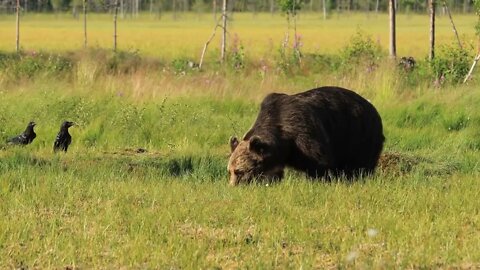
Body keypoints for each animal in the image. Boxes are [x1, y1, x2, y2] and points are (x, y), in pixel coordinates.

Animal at [227, 86, 384, 186]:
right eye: (230, 171)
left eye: (239, 171)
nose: (232, 186)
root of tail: (373, 108)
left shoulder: (305, 133)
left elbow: (320, 162)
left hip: (359, 134)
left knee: (361, 165)